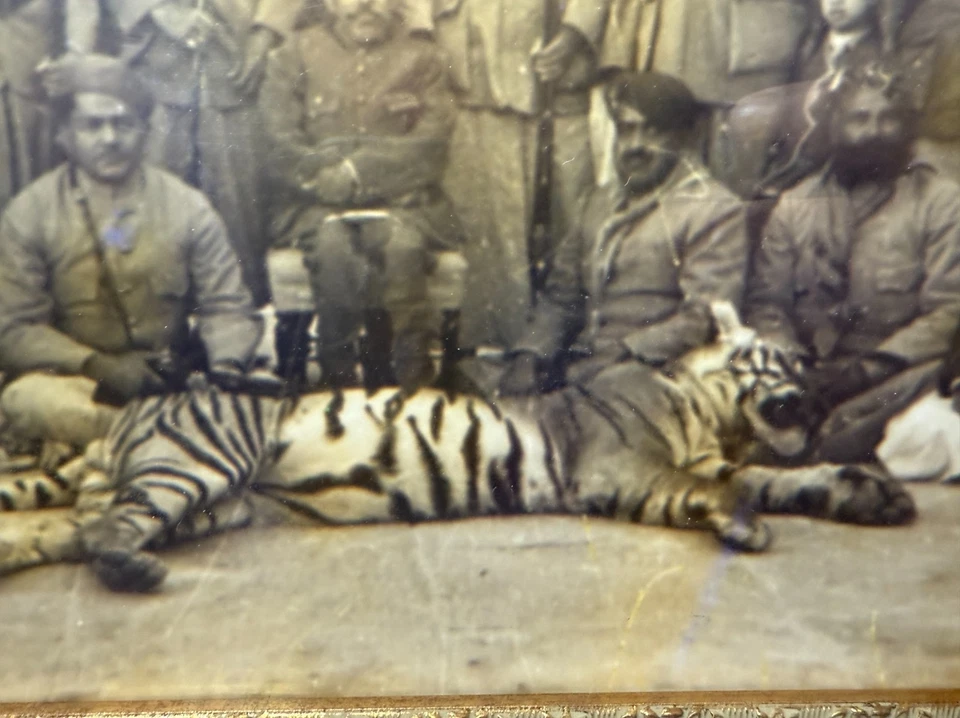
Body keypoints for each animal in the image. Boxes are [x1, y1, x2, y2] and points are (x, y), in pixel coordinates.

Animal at [0, 302, 916, 593]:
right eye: (788, 362)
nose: (826, 391)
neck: (709, 414)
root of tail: (117, 421)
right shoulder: (625, 464)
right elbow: (729, 489)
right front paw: (747, 523)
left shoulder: (719, 454)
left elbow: (778, 476)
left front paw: (876, 493)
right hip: (196, 463)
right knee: (109, 531)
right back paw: (136, 572)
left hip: (204, 504)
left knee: (75, 529)